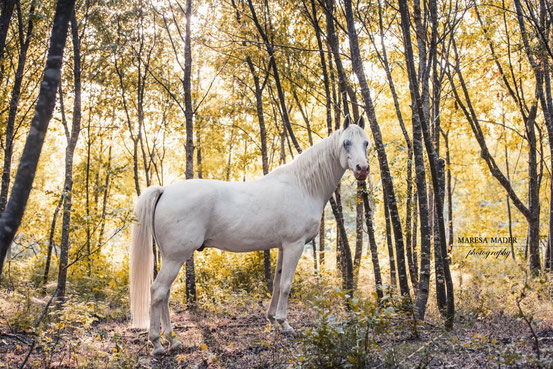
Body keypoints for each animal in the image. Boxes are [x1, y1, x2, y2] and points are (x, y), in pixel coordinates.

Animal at [130, 123, 370, 354]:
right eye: (346, 142)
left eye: (366, 143)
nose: (363, 169)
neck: (303, 186)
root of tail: (164, 191)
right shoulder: (294, 245)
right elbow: (286, 284)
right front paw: (285, 324)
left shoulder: (282, 246)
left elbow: (276, 282)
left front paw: (272, 319)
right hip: (176, 257)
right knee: (158, 291)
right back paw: (157, 343)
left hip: (170, 257)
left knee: (165, 294)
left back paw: (173, 340)